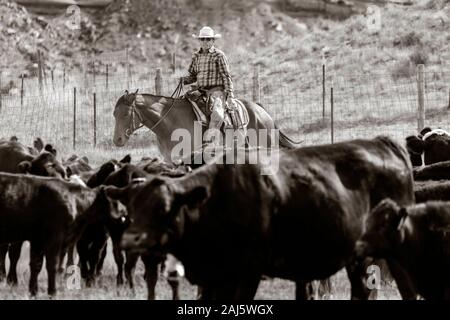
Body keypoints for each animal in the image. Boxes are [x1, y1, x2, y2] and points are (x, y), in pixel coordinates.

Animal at [108, 136, 414, 300]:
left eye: (162, 208)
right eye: (130, 208)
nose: (131, 239)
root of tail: (384, 144)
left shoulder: (247, 272)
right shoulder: (215, 277)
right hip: (358, 257)